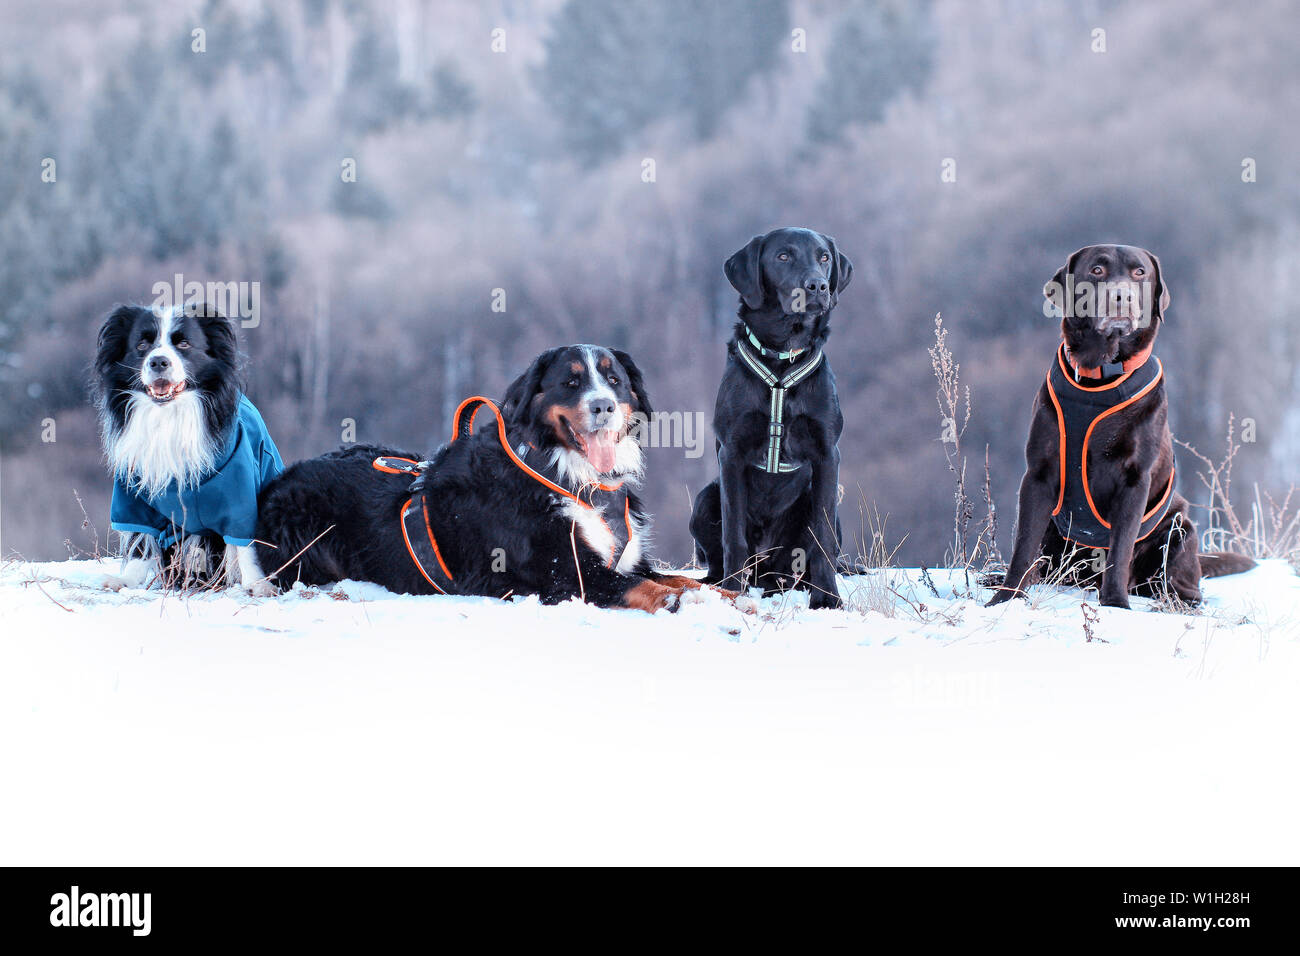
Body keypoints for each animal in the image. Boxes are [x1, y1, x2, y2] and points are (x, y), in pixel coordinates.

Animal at [92, 304, 284, 590]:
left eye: (183, 343)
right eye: (141, 345)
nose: (158, 361)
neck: (170, 414)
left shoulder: (239, 489)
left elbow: (244, 541)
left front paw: (257, 584)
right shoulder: (133, 490)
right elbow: (139, 537)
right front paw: (125, 580)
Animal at [253, 345, 722, 613]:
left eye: (614, 379)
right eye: (571, 381)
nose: (603, 405)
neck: (566, 474)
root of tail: (276, 483)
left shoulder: (626, 558)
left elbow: (675, 577)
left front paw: (725, 596)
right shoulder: (567, 575)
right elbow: (643, 586)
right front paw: (680, 601)